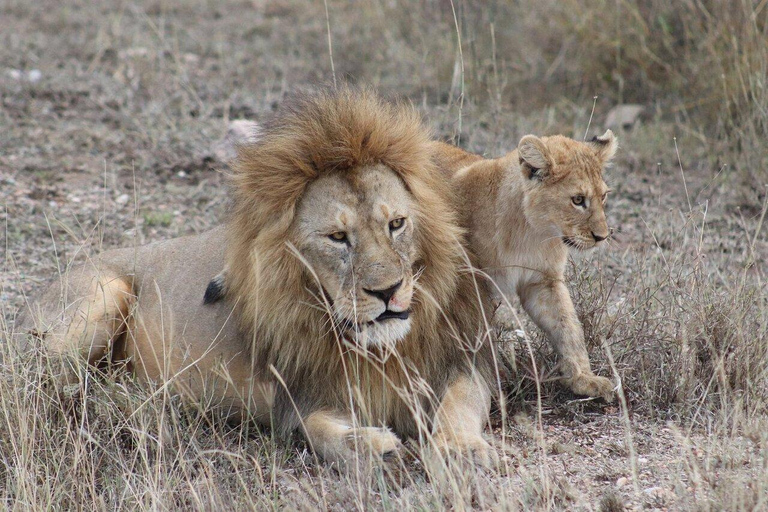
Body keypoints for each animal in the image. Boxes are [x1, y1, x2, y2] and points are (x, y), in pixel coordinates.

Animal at [19, 87, 498, 464]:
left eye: (397, 224)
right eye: (338, 237)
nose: (388, 291)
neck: (380, 350)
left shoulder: (461, 359)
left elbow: (462, 401)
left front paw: (460, 449)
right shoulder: (299, 395)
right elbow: (318, 429)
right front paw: (372, 446)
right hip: (104, 293)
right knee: (37, 387)